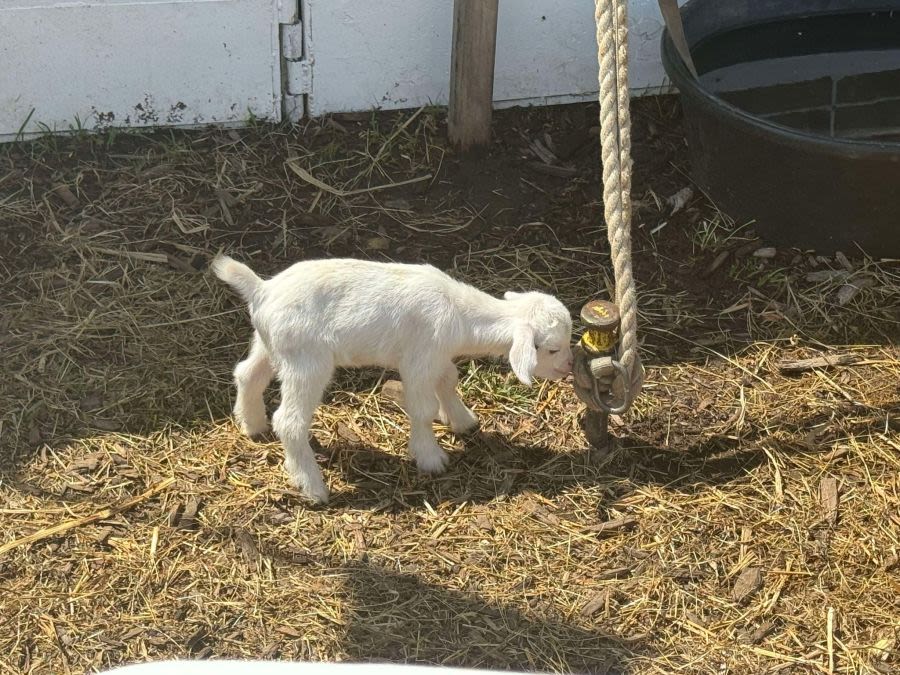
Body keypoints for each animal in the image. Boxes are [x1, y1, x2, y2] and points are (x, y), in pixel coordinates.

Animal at [214, 256, 572, 504]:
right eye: (551, 349)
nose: (568, 368)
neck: (460, 315)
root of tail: (262, 289)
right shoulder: (418, 360)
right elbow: (422, 409)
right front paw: (430, 457)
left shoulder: (436, 356)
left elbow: (449, 380)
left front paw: (462, 421)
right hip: (306, 361)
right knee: (289, 420)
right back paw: (313, 487)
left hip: (269, 344)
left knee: (247, 374)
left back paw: (252, 424)